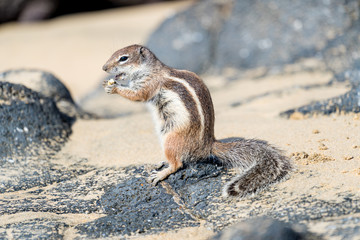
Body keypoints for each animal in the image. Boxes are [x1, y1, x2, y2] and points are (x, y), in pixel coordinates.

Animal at [101, 44, 292, 198]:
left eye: (123, 58)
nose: (103, 67)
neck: (151, 69)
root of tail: (208, 145)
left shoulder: (150, 84)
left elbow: (137, 95)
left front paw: (114, 88)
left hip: (171, 139)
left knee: (178, 163)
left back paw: (162, 173)